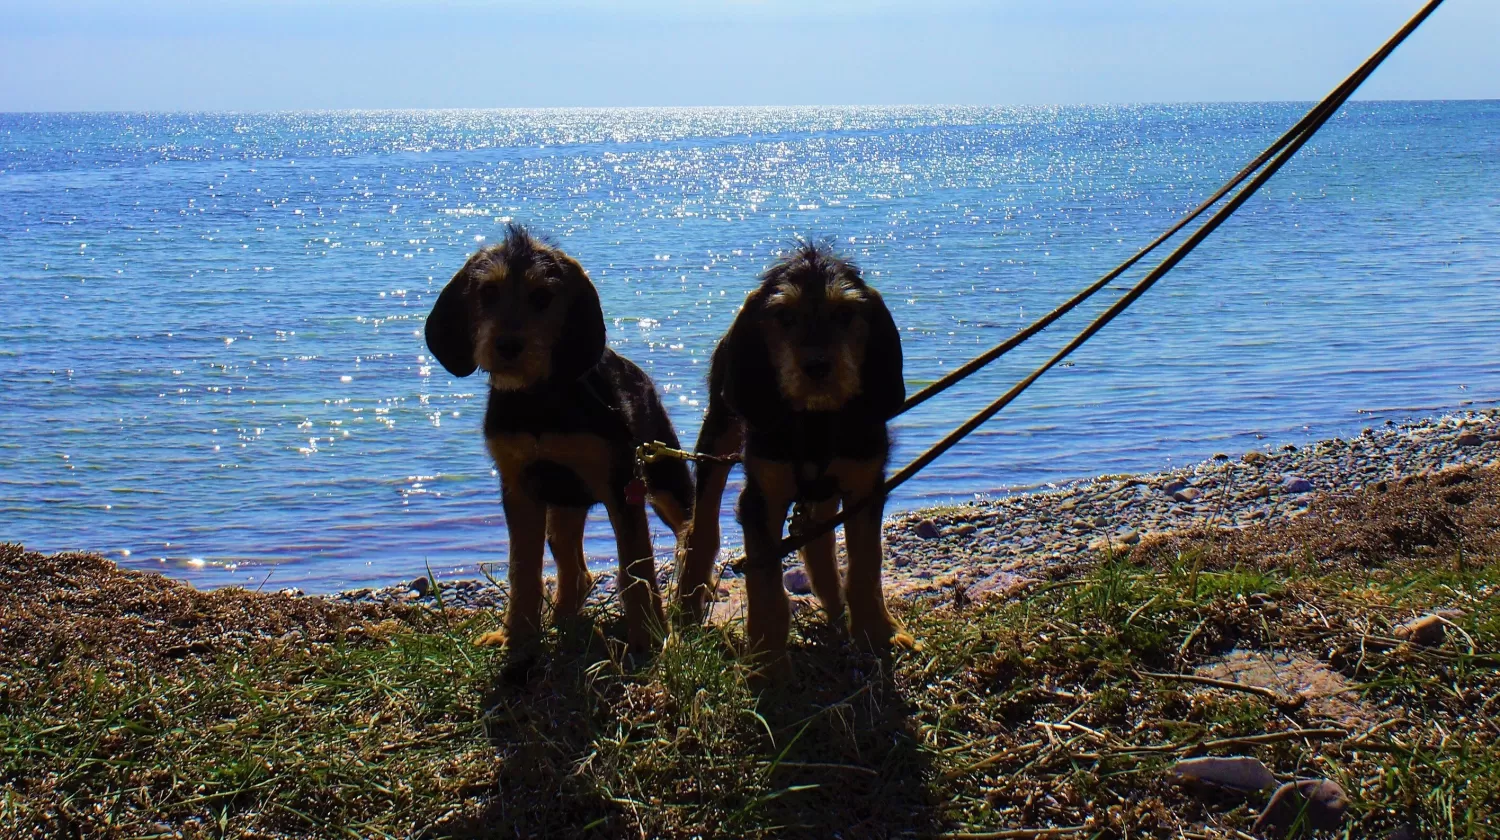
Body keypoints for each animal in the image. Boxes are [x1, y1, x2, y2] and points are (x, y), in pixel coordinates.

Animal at [424, 224, 693, 654]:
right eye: (488, 293)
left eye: (542, 297)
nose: (507, 346)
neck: (539, 400)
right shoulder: (520, 487)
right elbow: (523, 569)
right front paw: (517, 637)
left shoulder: (622, 487)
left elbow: (636, 566)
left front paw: (646, 638)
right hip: (565, 506)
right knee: (575, 568)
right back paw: (565, 621)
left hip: (665, 478)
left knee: (691, 533)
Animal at [675, 240, 911, 658]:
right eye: (784, 316)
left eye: (845, 314)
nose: (817, 367)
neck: (815, 419)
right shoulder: (761, 499)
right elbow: (765, 583)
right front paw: (767, 660)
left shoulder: (865, 486)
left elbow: (866, 563)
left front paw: (878, 632)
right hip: (718, 433)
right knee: (701, 530)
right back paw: (687, 612)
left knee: (818, 542)